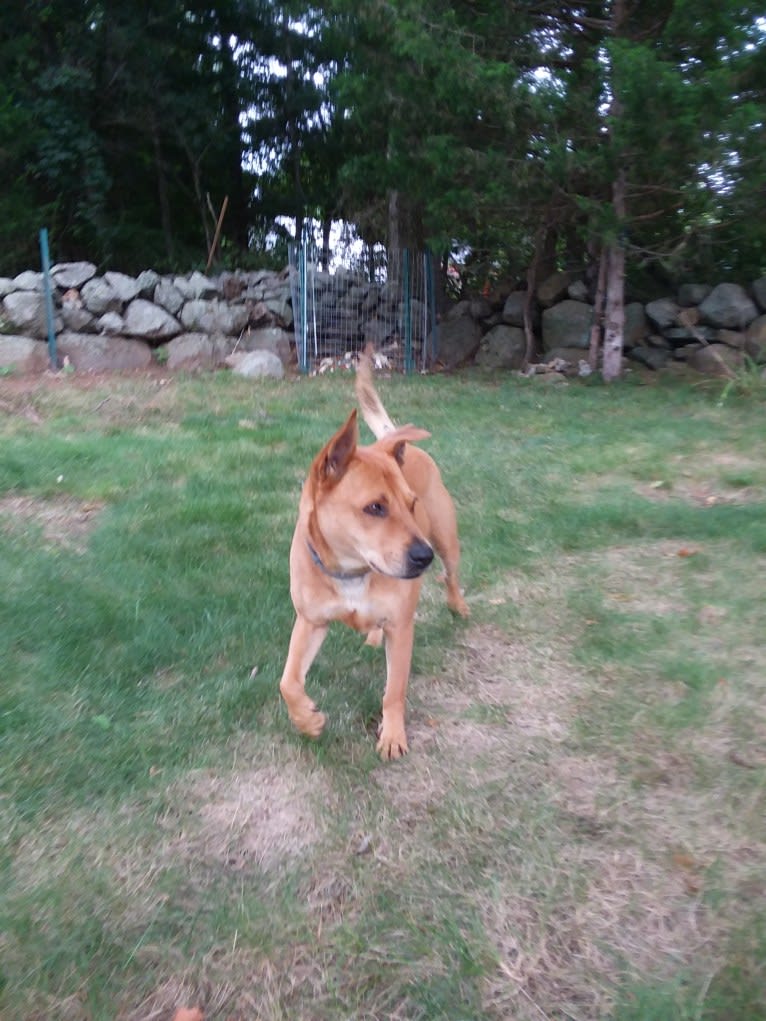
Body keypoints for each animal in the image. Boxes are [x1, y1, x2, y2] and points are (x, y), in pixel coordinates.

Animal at [279, 351, 465, 759]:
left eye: (411, 504)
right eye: (375, 507)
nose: (423, 557)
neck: (352, 572)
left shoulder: (402, 628)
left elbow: (394, 690)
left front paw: (393, 735)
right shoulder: (310, 622)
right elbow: (287, 682)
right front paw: (307, 720)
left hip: (447, 539)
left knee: (452, 575)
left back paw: (458, 605)